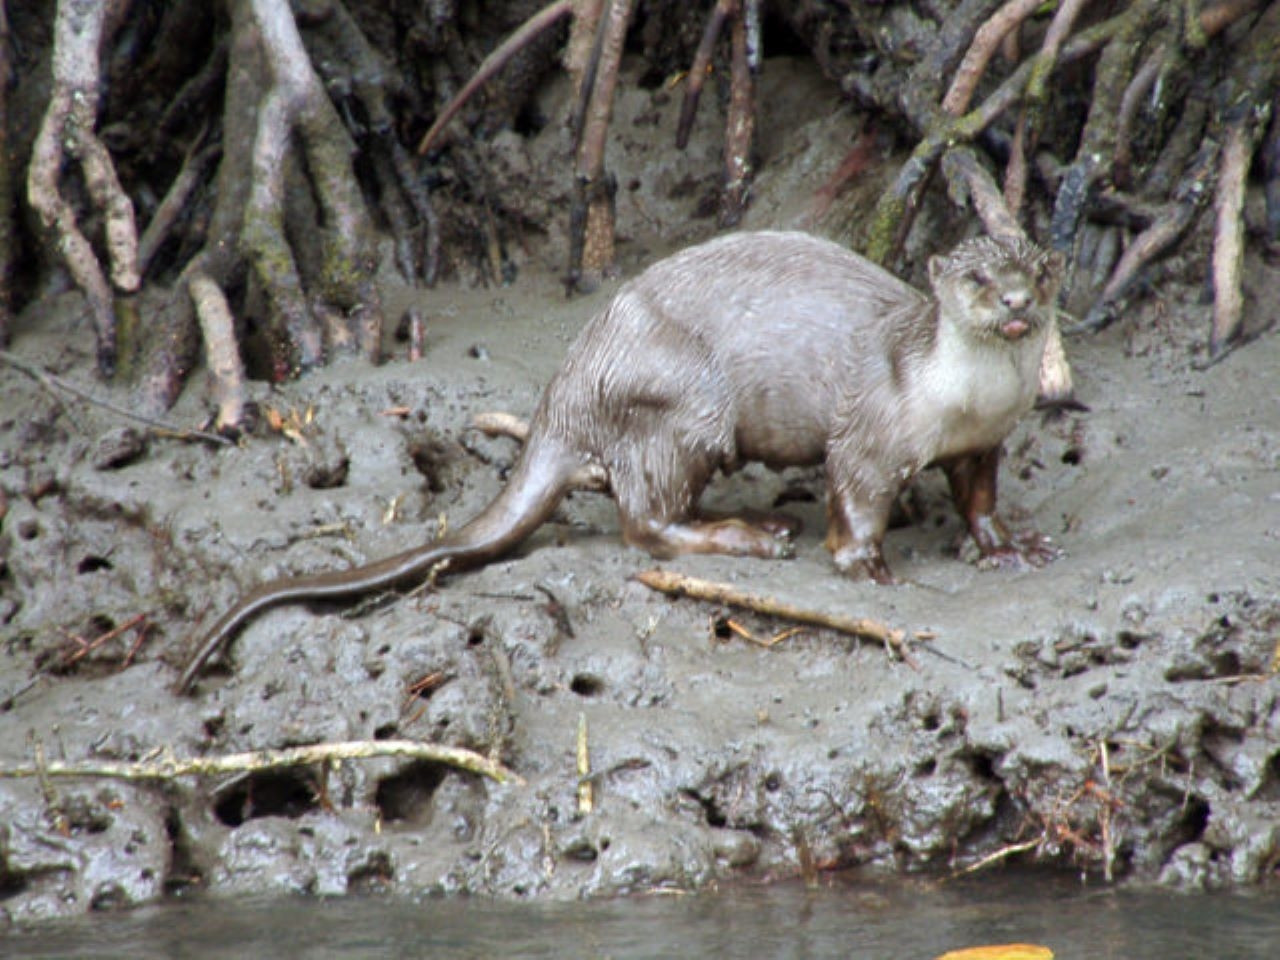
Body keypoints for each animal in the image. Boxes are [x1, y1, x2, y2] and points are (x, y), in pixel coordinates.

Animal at [180, 236, 1059, 696]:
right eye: (980, 276)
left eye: (1039, 268)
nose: (1018, 299)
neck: (962, 398)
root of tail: (570, 385)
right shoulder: (872, 433)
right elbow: (857, 498)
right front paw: (869, 568)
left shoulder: (986, 440)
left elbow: (980, 496)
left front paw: (1009, 547)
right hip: (687, 407)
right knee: (647, 523)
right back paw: (754, 534)